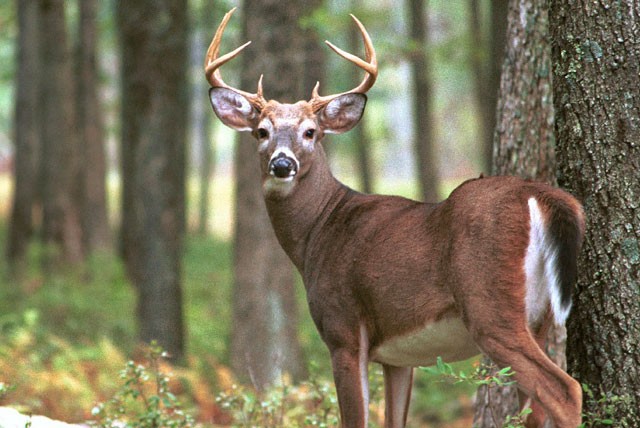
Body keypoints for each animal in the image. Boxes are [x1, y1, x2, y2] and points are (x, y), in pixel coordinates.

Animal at [205, 8, 584, 428]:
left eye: (310, 132)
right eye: (261, 131)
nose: (282, 164)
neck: (318, 231)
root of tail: (539, 195)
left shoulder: (343, 329)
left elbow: (354, 418)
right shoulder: (398, 358)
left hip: (491, 304)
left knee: (565, 389)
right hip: (540, 318)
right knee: (536, 406)